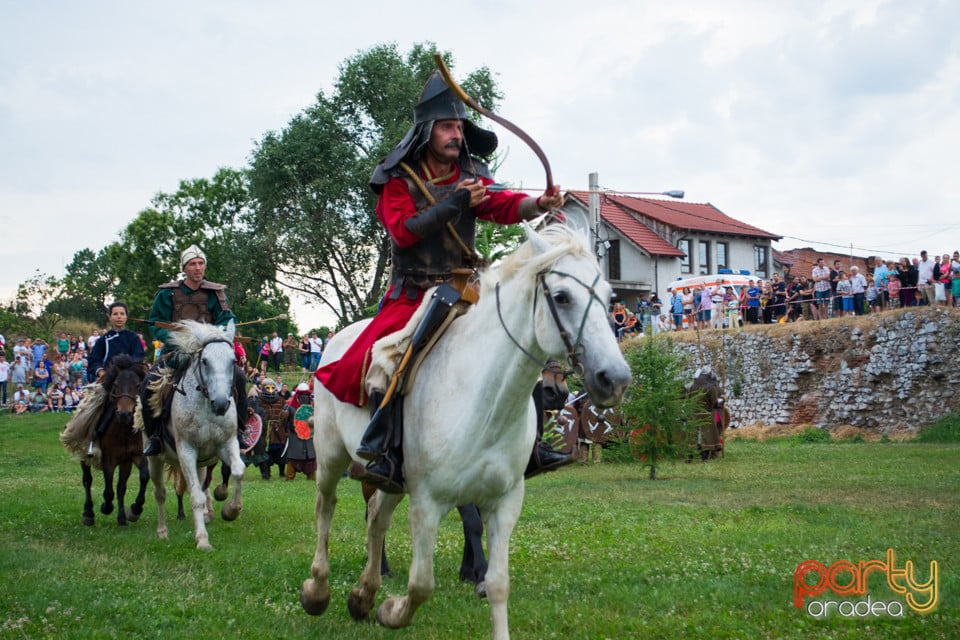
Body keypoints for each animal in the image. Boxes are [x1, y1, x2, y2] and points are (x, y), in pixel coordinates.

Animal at [145, 320, 246, 552]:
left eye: (232, 361)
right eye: (205, 361)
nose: (221, 404)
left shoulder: (226, 444)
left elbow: (238, 471)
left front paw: (231, 510)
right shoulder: (186, 451)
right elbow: (196, 497)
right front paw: (202, 539)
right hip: (155, 459)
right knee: (160, 493)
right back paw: (162, 532)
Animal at [298, 222, 632, 636]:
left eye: (609, 298)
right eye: (561, 296)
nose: (614, 379)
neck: (484, 401)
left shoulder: (504, 502)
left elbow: (498, 583)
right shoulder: (428, 503)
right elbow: (421, 584)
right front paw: (393, 610)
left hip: (392, 479)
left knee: (376, 517)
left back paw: (364, 595)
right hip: (330, 456)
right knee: (325, 507)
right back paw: (317, 590)